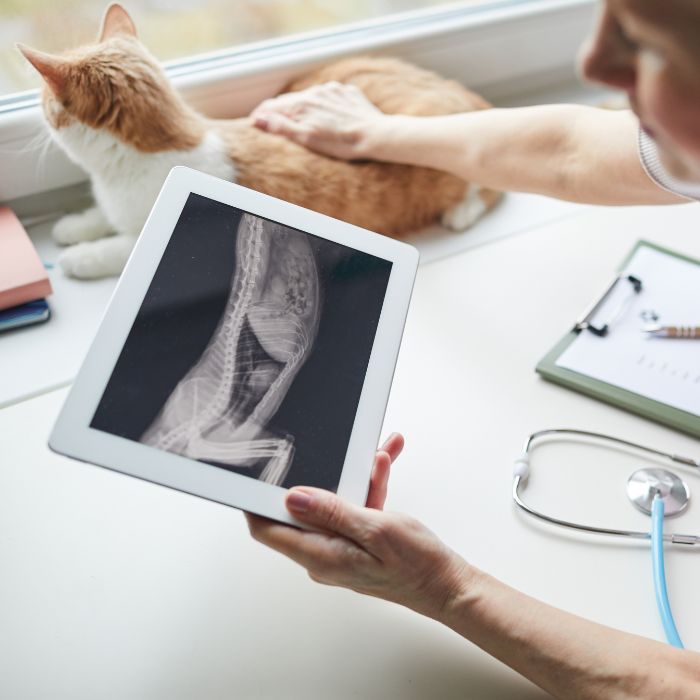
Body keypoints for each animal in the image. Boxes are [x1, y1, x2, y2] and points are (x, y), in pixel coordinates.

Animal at [19, 5, 500, 280]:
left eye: (43, 102)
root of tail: (464, 92)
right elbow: (100, 215)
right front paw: (75, 225)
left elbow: (124, 246)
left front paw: (81, 256)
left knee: (487, 186)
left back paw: (461, 212)